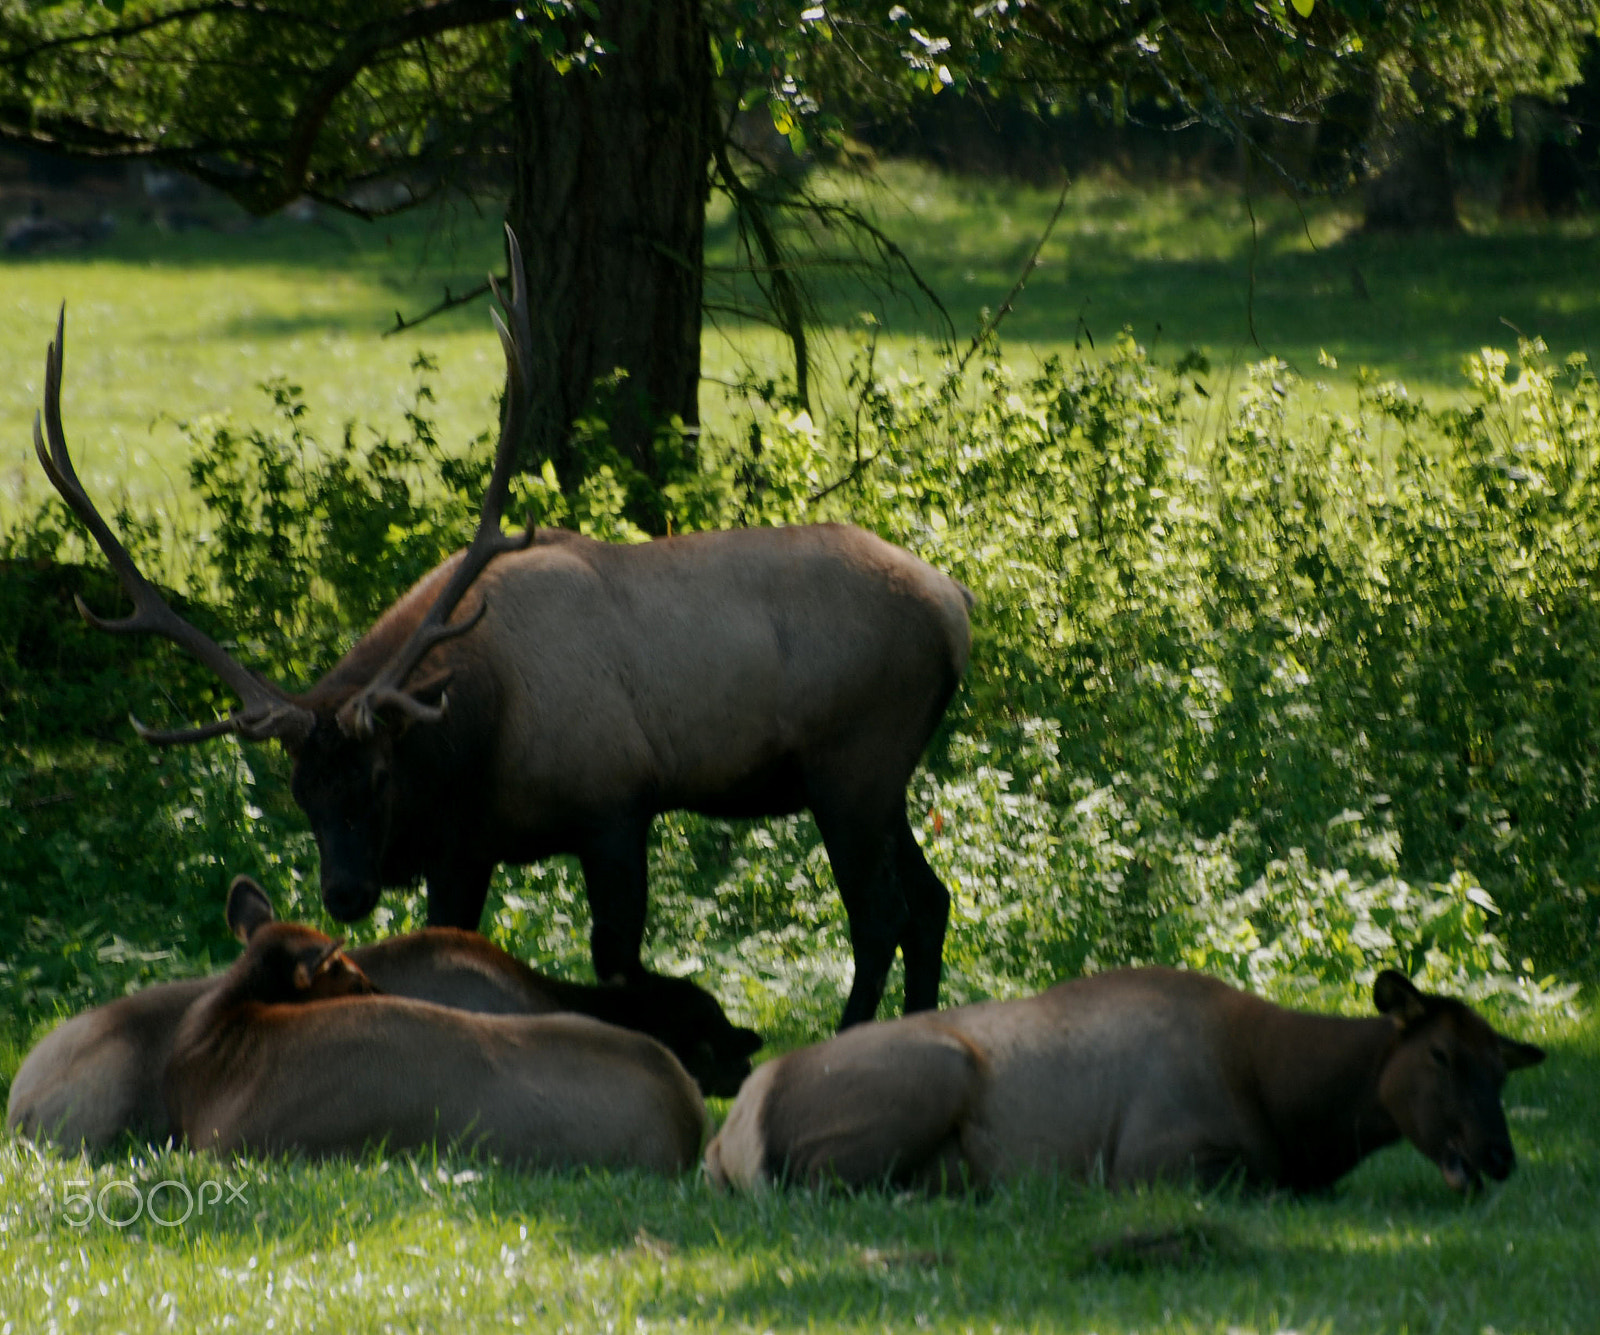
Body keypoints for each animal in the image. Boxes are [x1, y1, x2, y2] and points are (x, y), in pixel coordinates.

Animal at [30, 228, 974, 1032]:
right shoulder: (465, 849)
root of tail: (955, 606)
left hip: (852, 761)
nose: (345, 893)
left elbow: (616, 959)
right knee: (931, 902)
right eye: (300, 790)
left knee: (881, 912)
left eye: (378, 772)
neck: (479, 735)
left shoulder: (614, 802)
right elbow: (454, 945)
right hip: (879, 775)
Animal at [704, 966, 1546, 1196]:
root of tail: (732, 1132)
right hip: (936, 1069)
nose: (1499, 1154)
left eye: (1499, 1068)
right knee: (819, 1181)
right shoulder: (1154, 1159)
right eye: (1441, 1055)